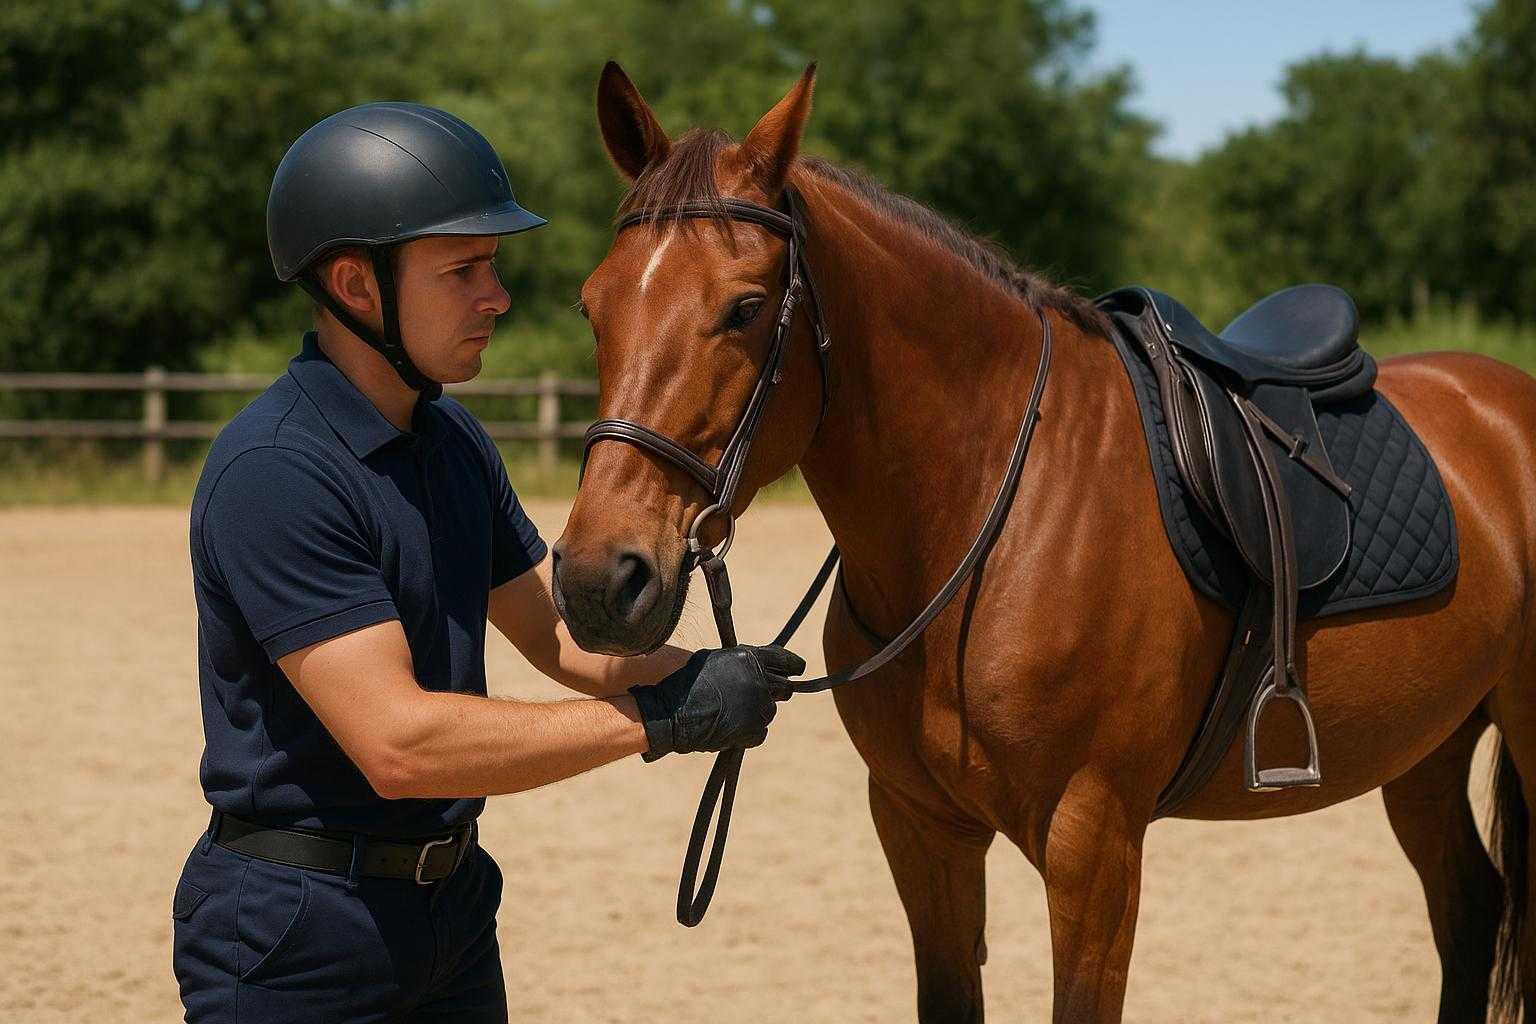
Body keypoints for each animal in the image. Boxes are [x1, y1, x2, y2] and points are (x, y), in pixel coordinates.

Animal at [551, 62, 1536, 1023]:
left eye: (747, 308)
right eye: (593, 306)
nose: (601, 580)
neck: (988, 524)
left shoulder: (1093, 842)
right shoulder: (921, 825)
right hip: (1427, 744)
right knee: (1468, 909)